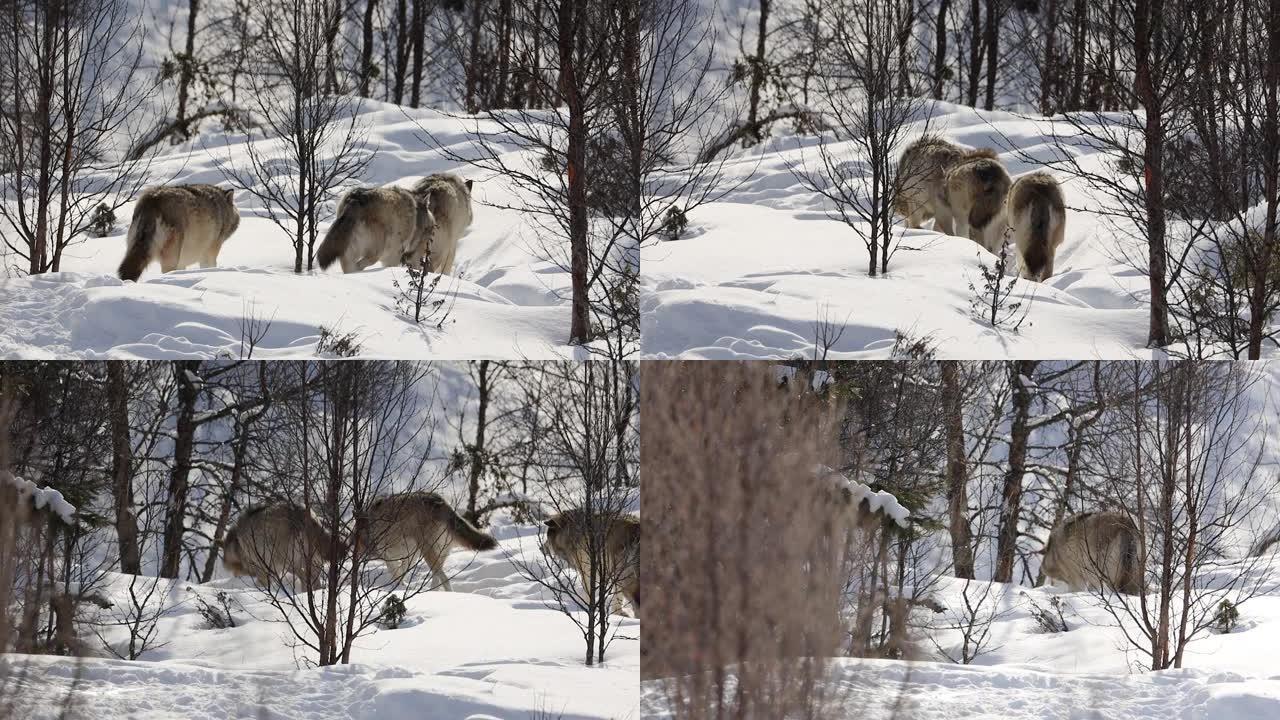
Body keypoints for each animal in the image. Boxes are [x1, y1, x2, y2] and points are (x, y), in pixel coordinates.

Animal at [363, 489, 501, 591]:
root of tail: (439, 501)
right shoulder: (409, 557)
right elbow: (401, 572)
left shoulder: (391, 556)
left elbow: (397, 573)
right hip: (440, 552)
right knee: (437, 578)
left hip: (428, 551)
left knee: (444, 579)